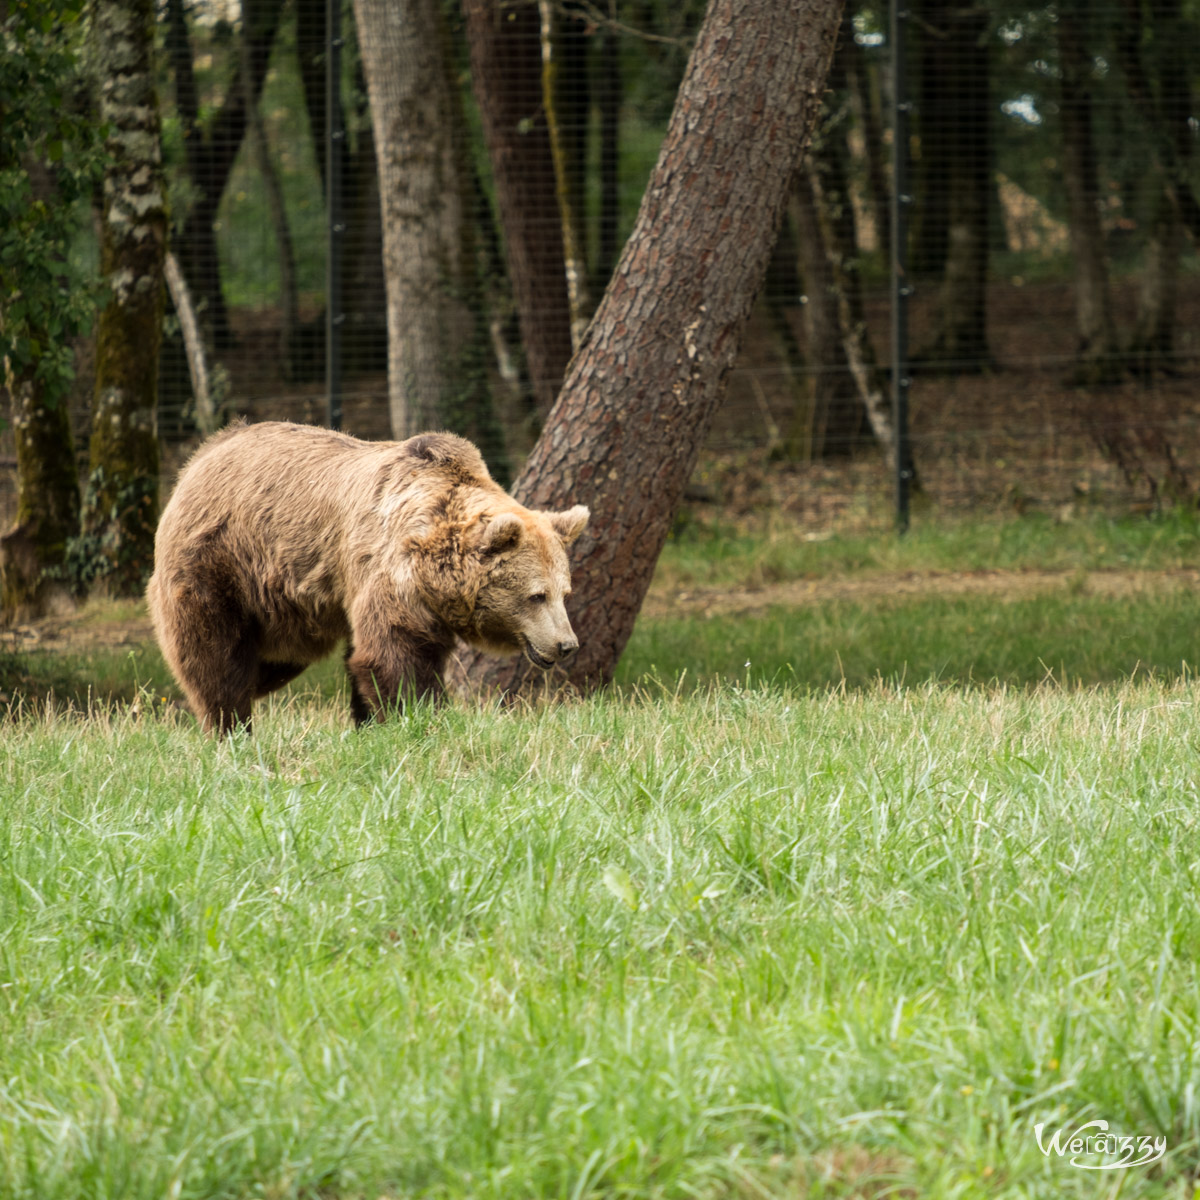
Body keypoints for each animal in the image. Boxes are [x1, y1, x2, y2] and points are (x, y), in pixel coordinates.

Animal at [147, 427, 588, 734]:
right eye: (536, 595)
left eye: (565, 592)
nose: (566, 644)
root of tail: (199, 459)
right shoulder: (390, 572)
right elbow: (393, 655)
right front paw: (416, 717)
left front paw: (370, 724)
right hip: (220, 563)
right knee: (216, 655)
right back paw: (230, 726)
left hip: (286, 610)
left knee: (268, 662)